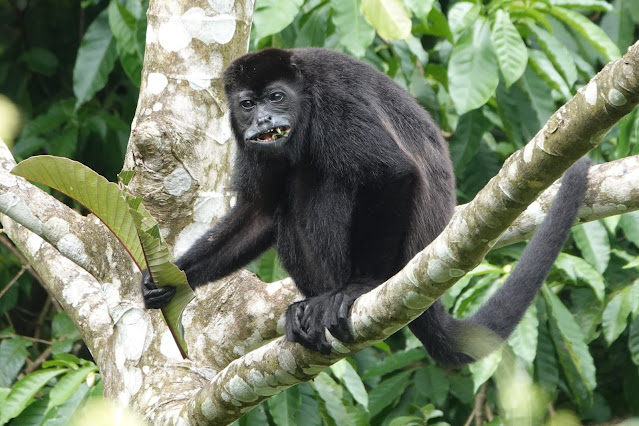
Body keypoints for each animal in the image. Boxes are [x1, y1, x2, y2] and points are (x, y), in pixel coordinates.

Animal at [141, 48, 589, 363]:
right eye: (247, 104)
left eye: (276, 97)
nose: (264, 121)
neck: (303, 97)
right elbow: (259, 212)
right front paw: (172, 279)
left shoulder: (335, 103)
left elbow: (391, 173)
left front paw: (361, 287)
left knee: (324, 178)